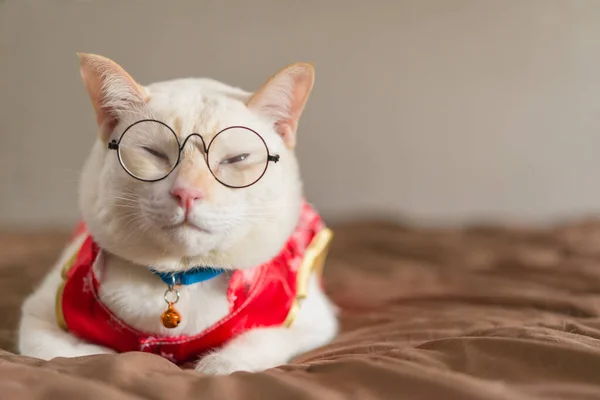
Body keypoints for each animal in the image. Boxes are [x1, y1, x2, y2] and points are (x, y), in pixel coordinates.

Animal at [17, 54, 338, 376]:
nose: (187, 193)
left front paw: (215, 365)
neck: (178, 278)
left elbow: (258, 339)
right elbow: (69, 356)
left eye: (236, 159)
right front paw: (102, 353)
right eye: (153, 153)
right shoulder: (39, 315)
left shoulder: (312, 320)